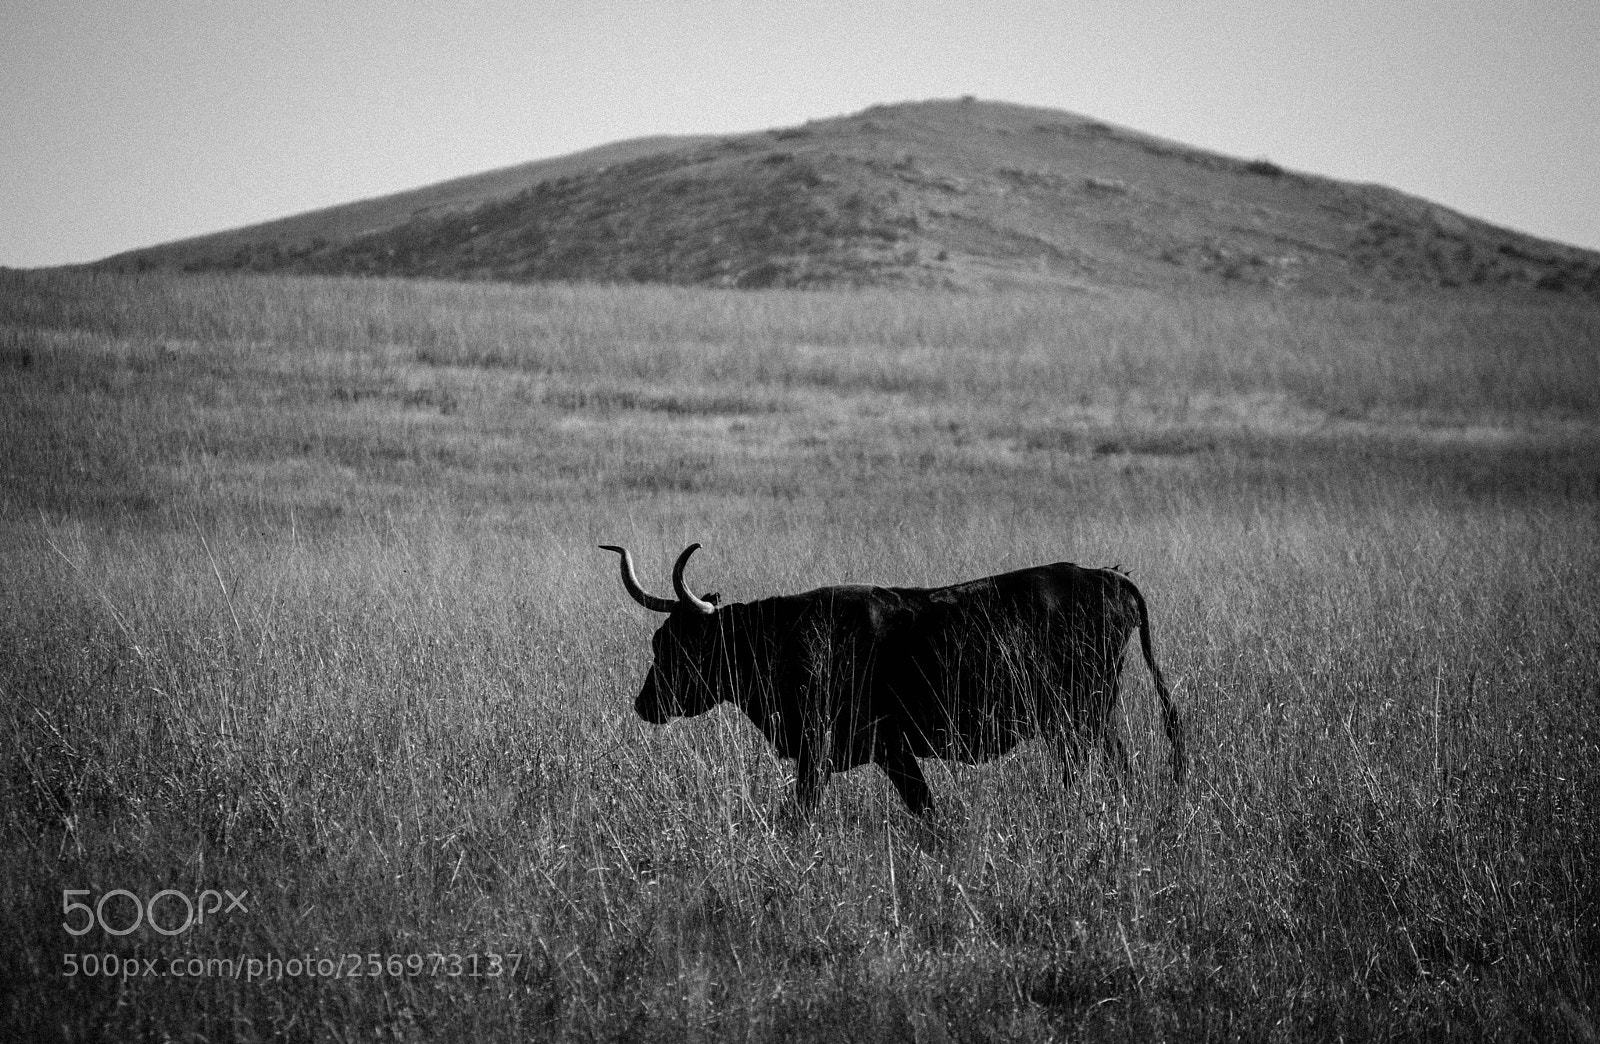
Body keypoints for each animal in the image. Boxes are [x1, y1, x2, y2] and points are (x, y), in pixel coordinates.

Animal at [602, 542, 1186, 815]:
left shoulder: (829, 751)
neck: (785, 637)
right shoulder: (891, 755)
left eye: (679, 645)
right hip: (1081, 721)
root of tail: (1105, 576)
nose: (644, 704)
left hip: (1081, 718)